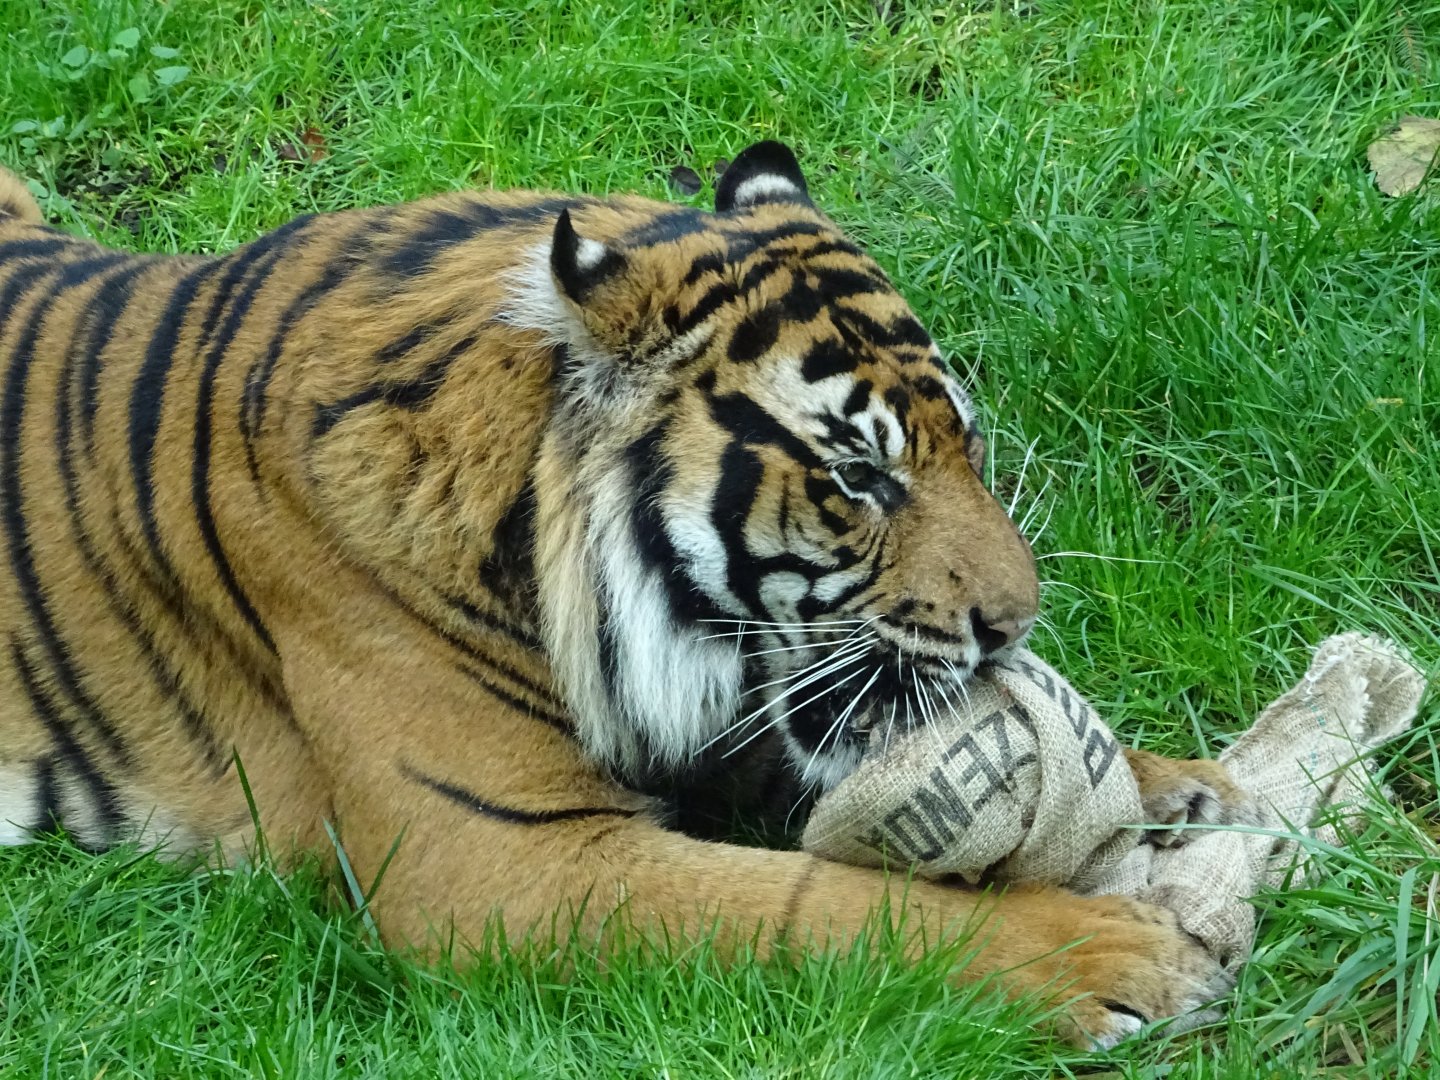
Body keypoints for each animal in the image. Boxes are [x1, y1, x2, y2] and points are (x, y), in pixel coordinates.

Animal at [0, 142, 1243, 1047]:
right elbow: (818, 903)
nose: (1013, 625)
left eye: (965, 447)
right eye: (858, 477)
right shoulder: (505, 866)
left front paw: (1178, 786)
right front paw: (1111, 956)